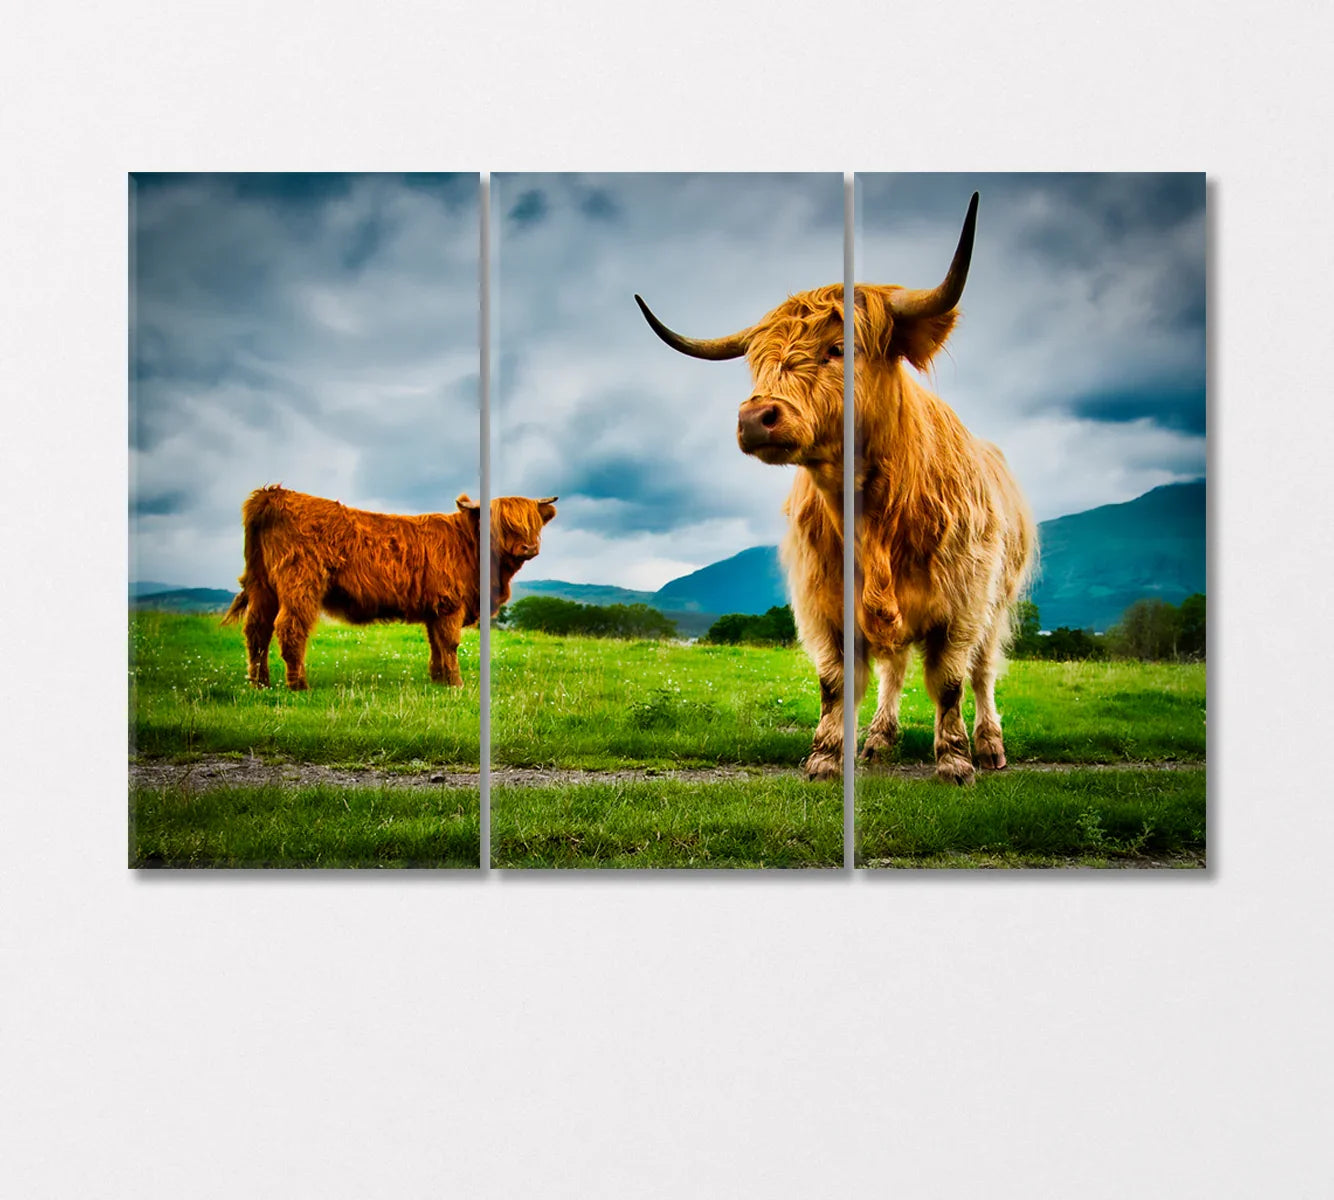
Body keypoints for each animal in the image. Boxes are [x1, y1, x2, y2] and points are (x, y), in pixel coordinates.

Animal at [221, 486, 557, 690]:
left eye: (533, 523)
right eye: (504, 523)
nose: (529, 547)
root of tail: (273, 494)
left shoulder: (434, 608)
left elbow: (435, 644)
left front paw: (438, 679)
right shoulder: (450, 604)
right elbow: (450, 644)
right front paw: (456, 683)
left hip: (262, 585)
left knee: (257, 629)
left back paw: (260, 683)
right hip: (300, 584)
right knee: (290, 627)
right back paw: (298, 685)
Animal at [635, 193, 1034, 784]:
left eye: (840, 348)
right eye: (757, 362)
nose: (755, 418)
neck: (877, 513)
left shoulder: (962, 602)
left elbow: (949, 682)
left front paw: (955, 761)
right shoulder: (822, 602)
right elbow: (835, 681)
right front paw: (826, 756)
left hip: (996, 604)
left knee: (982, 672)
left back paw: (988, 746)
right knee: (895, 670)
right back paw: (879, 741)